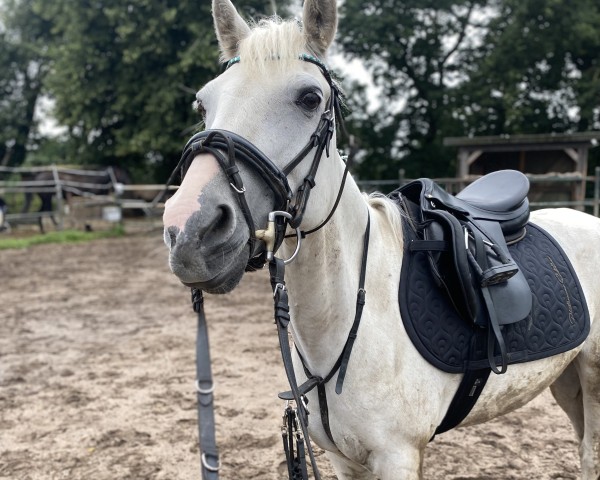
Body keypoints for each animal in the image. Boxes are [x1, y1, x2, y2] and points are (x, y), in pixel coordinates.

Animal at [163, 1, 600, 478]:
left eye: (310, 98)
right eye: (204, 103)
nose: (190, 231)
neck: (356, 316)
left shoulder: (399, 456)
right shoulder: (342, 460)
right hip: (567, 380)